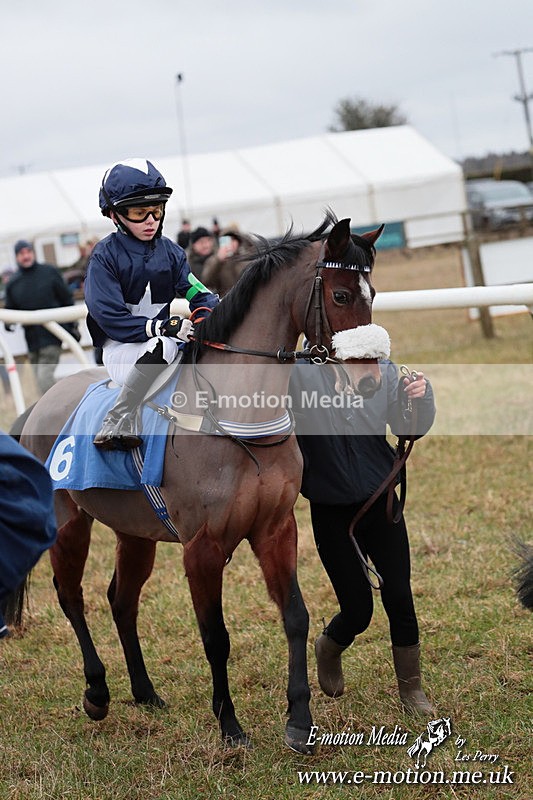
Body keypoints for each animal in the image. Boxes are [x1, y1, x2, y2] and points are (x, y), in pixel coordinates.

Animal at [13, 213, 388, 754]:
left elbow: (295, 616)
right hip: (70, 523)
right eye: (340, 295)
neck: (235, 419)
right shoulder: (203, 547)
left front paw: (299, 720)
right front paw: (230, 726)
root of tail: (40, 405)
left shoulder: (276, 529)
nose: (369, 382)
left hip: (134, 530)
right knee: (71, 596)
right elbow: (216, 636)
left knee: (120, 599)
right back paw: (97, 693)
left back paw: (145, 692)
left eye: (372, 291)